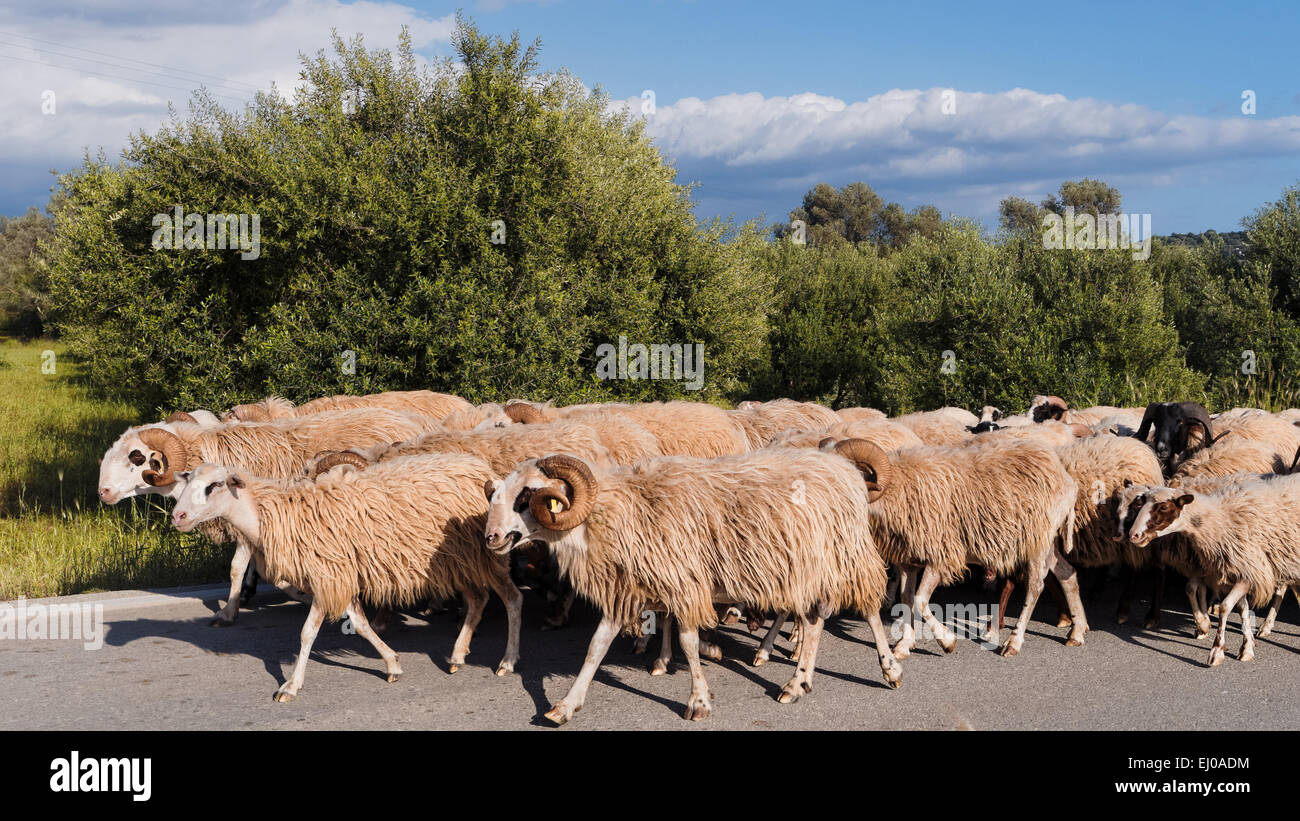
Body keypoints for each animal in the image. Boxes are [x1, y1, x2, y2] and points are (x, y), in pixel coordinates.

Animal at [170, 453, 523, 699]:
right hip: (456, 562)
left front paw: (291, 686)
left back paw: (506, 661)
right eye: (187, 484)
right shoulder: (341, 576)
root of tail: (485, 471)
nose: (178, 516)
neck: (276, 515)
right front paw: (392, 663)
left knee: (512, 599)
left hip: (485, 553)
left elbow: (307, 633)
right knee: (478, 599)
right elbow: (362, 625)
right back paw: (458, 655)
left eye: (213, 486)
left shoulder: (328, 577)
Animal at [483, 448, 901, 724]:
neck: (616, 511)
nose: (491, 538)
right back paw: (797, 684)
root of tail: (845, 469)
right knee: (813, 623)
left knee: (866, 608)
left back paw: (889, 669)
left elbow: (687, 640)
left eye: (527, 496)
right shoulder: (628, 588)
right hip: (805, 572)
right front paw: (565, 706)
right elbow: (595, 647)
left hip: (842, 559)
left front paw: (698, 701)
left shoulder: (684, 584)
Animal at [820, 436, 1086, 657]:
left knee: (1035, 587)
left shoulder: (941, 556)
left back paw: (1013, 642)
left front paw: (947, 641)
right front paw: (905, 645)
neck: (897, 488)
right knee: (1068, 574)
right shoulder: (908, 560)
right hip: (1047, 543)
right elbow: (907, 599)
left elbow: (920, 601)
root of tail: (1065, 477)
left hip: (1037, 541)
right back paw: (1077, 632)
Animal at [1126, 475, 1300, 666]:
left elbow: (1224, 607)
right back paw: (1266, 627)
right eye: (1140, 504)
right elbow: (1241, 609)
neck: (1221, 520)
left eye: (1164, 507)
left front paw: (1216, 651)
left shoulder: (1250, 570)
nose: (1133, 535)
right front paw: (1246, 647)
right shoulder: (1239, 571)